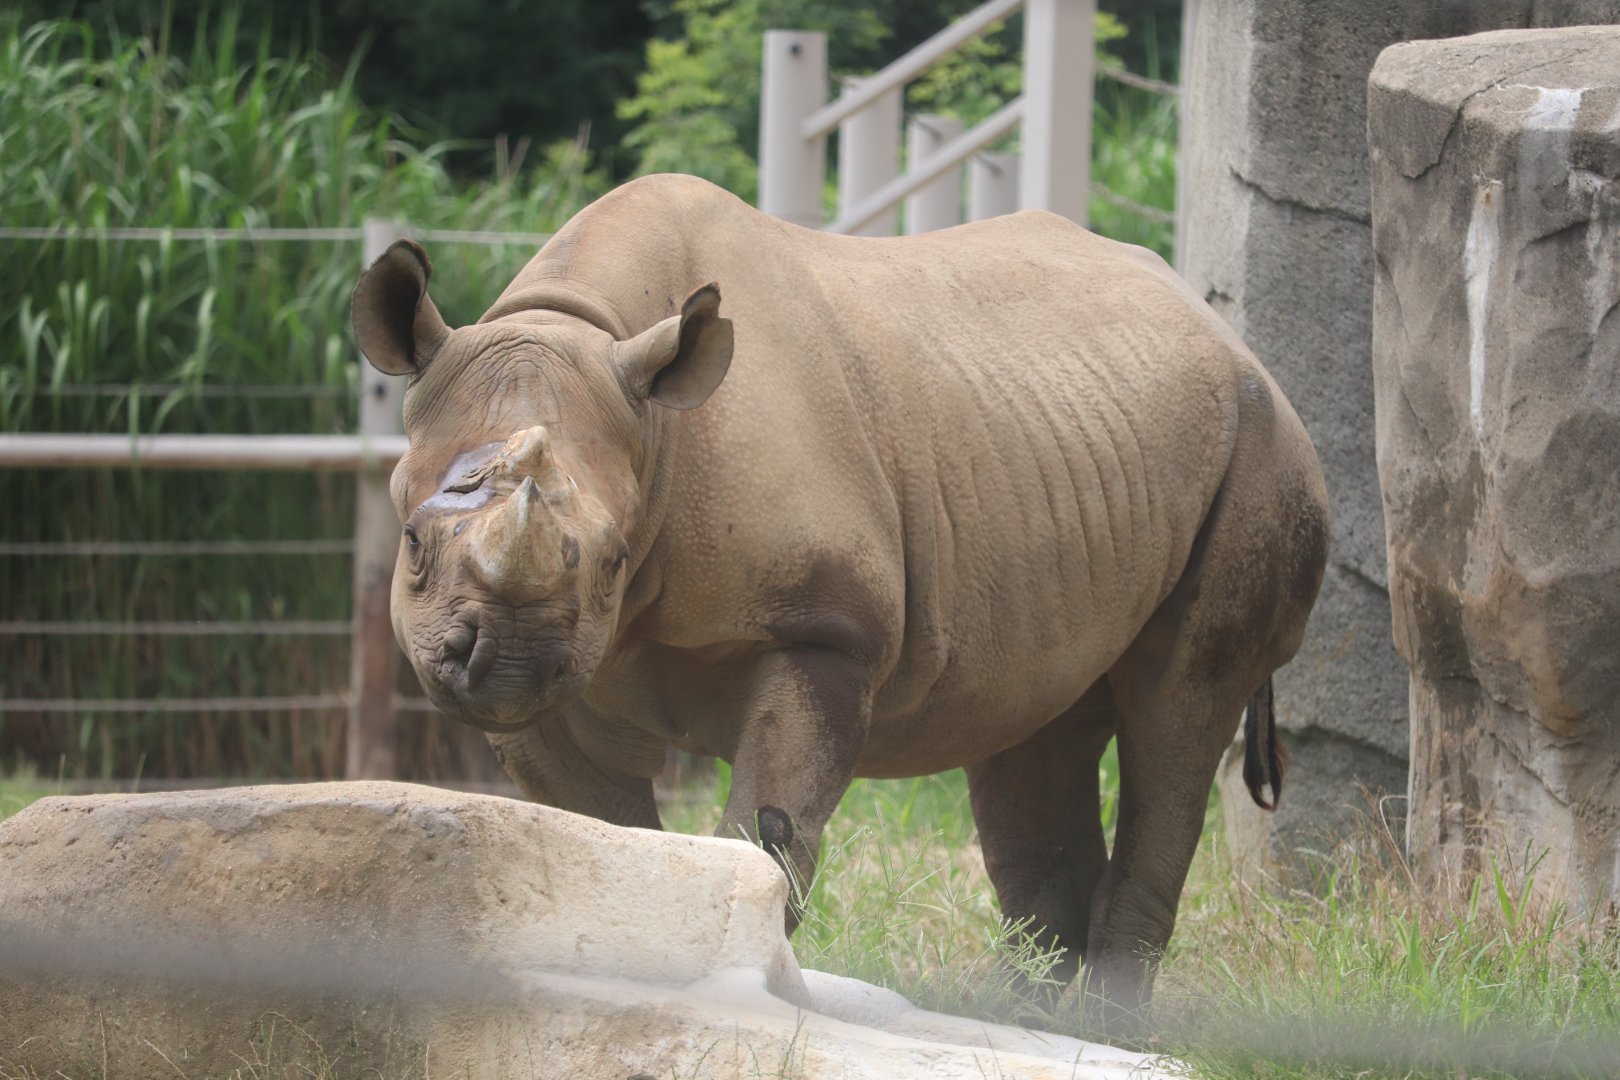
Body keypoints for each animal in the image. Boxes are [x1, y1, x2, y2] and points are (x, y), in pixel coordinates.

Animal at [351, 173, 1328, 1023]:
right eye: (412, 544)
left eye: (614, 558)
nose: (508, 663)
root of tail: (1228, 333)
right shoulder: (562, 687)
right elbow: (607, 835)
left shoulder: (825, 631)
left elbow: (766, 834)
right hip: (1068, 445)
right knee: (1036, 726)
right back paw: (1026, 1020)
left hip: (1265, 451)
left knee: (1180, 706)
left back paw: (1104, 1028)